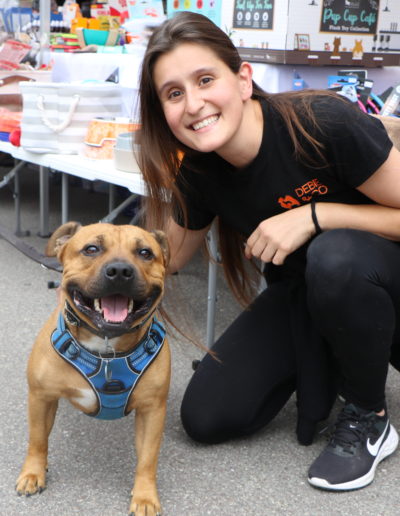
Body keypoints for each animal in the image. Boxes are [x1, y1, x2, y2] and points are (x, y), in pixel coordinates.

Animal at [15, 221, 171, 516]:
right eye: (91, 249)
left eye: (145, 252)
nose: (120, 271)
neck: (107, 350)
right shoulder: (41, 398)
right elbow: (38, 440)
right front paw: (33, 473)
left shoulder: (152, 411)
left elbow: (148, 458)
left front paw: (145, 496)